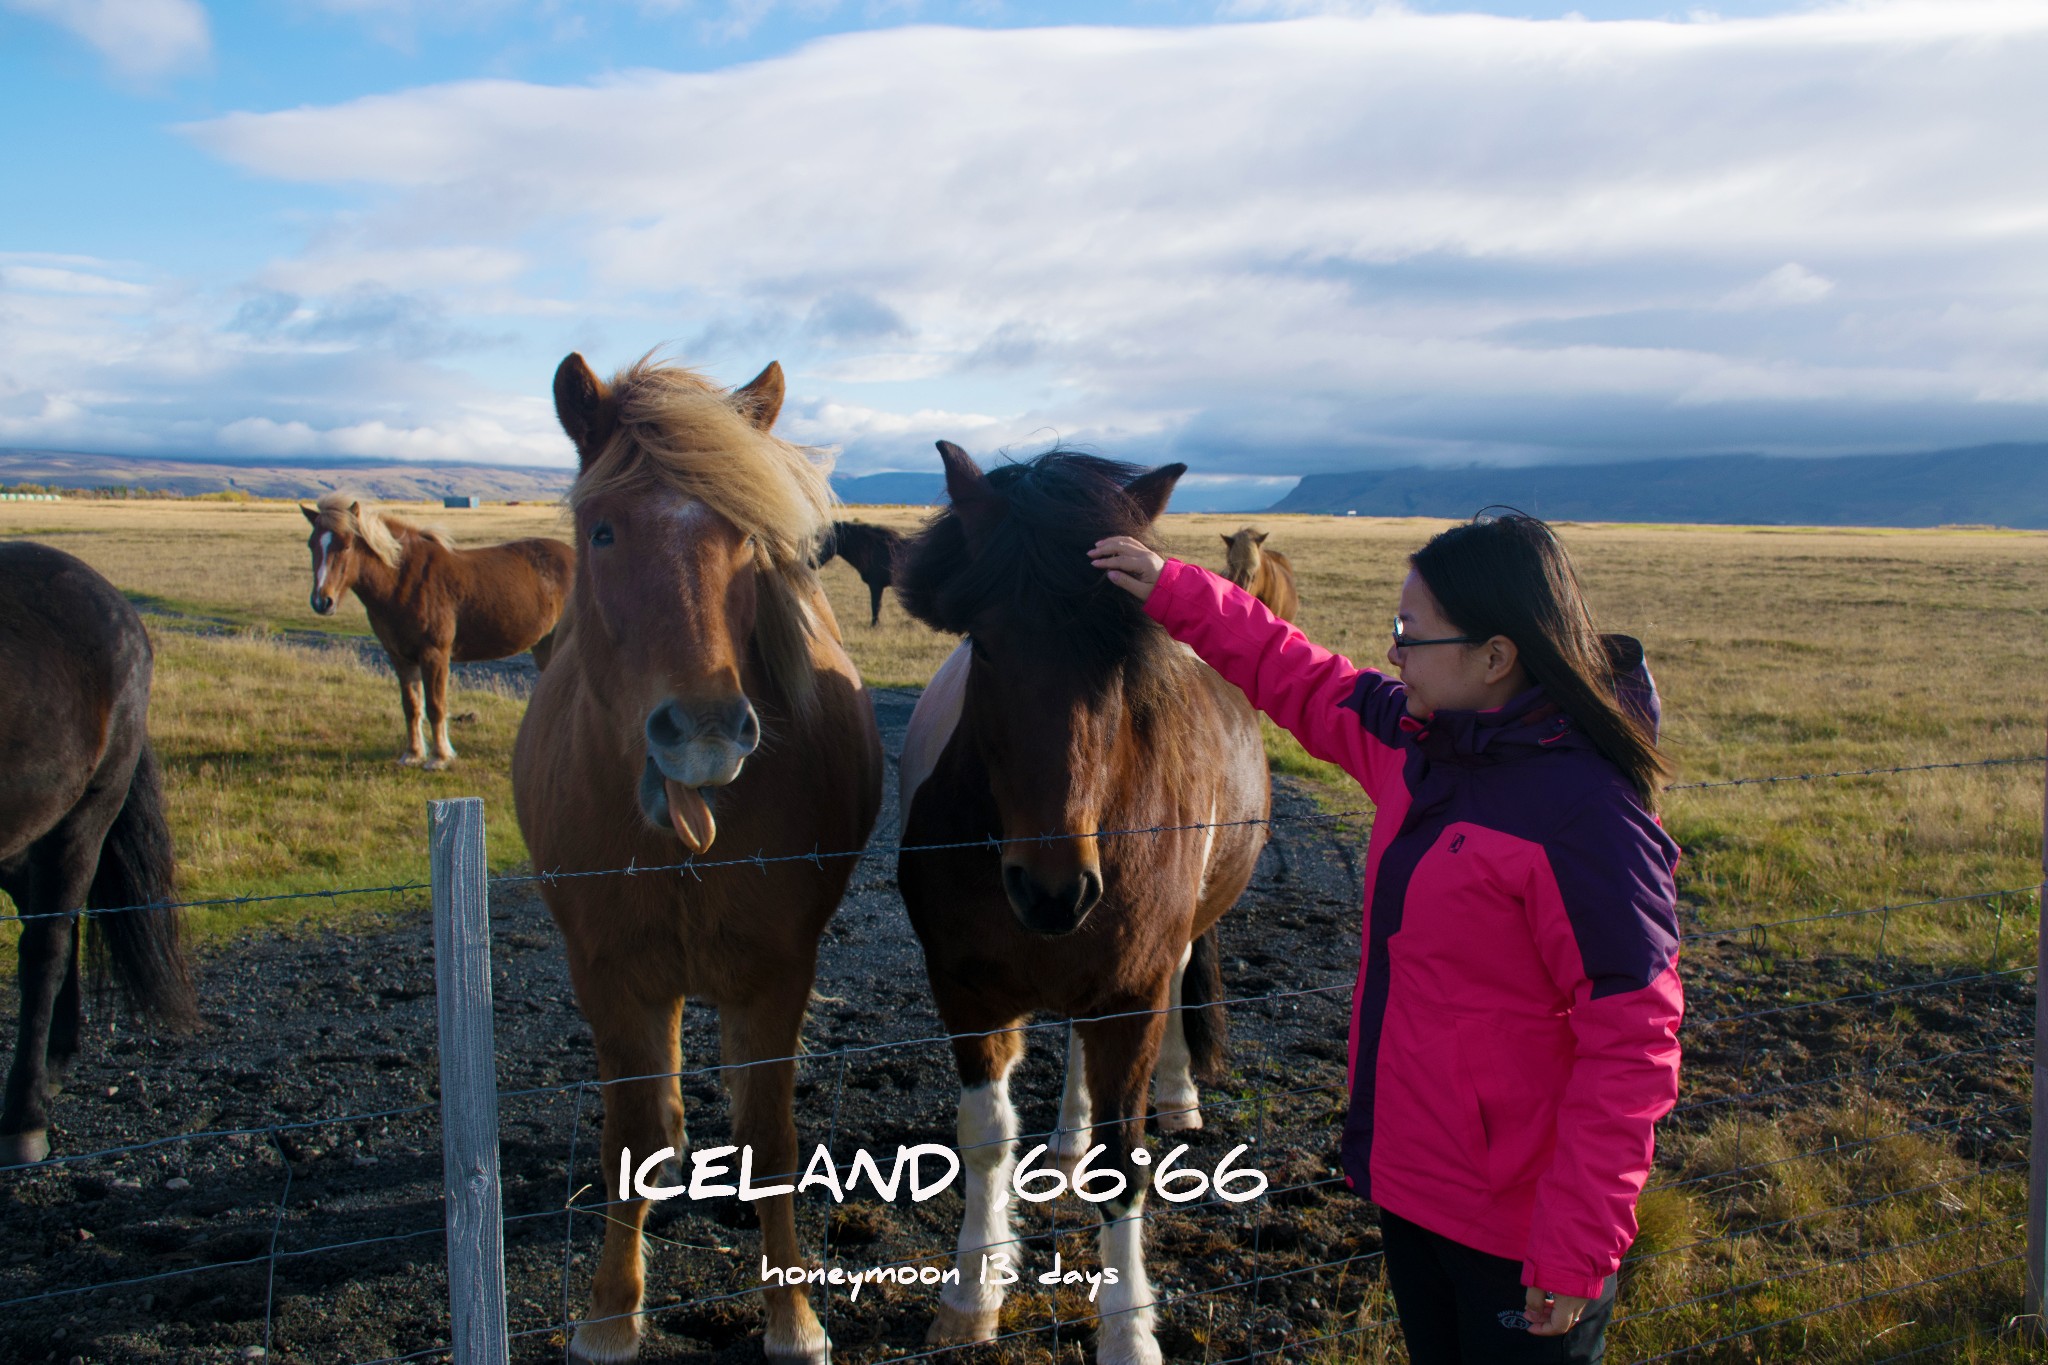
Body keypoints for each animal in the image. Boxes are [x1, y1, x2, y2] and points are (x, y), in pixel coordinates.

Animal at [296, 497, 573, 769]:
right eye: (311, 545)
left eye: (346, 545)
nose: (322, 601)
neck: (402, 580)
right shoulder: (400, 656)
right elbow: (411, 705)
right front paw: (413, 754)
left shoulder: (434, 654)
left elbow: (435, 706)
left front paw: (439, 757)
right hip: (544, 645)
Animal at [512, 356, 880, 1365]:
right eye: (602, 530)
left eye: (747, 537)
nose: (706, 731)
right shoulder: (606, 969)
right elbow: (628, 1138)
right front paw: (609, 1314)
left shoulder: (778, 971)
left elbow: (773, 1138)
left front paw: (792, 1317)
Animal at [905, 446, 1269, 1365]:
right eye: (984, 643)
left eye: (1122, 655)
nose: (1053, 886)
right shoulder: (965, 988)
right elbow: (984, 1136)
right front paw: (972, 1292)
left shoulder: (1131, 988)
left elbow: (1123, 1159)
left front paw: (1128, 1331)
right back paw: (1065, 1133)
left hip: (1165, 949)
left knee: (1175, 988)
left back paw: (1178, 1096)